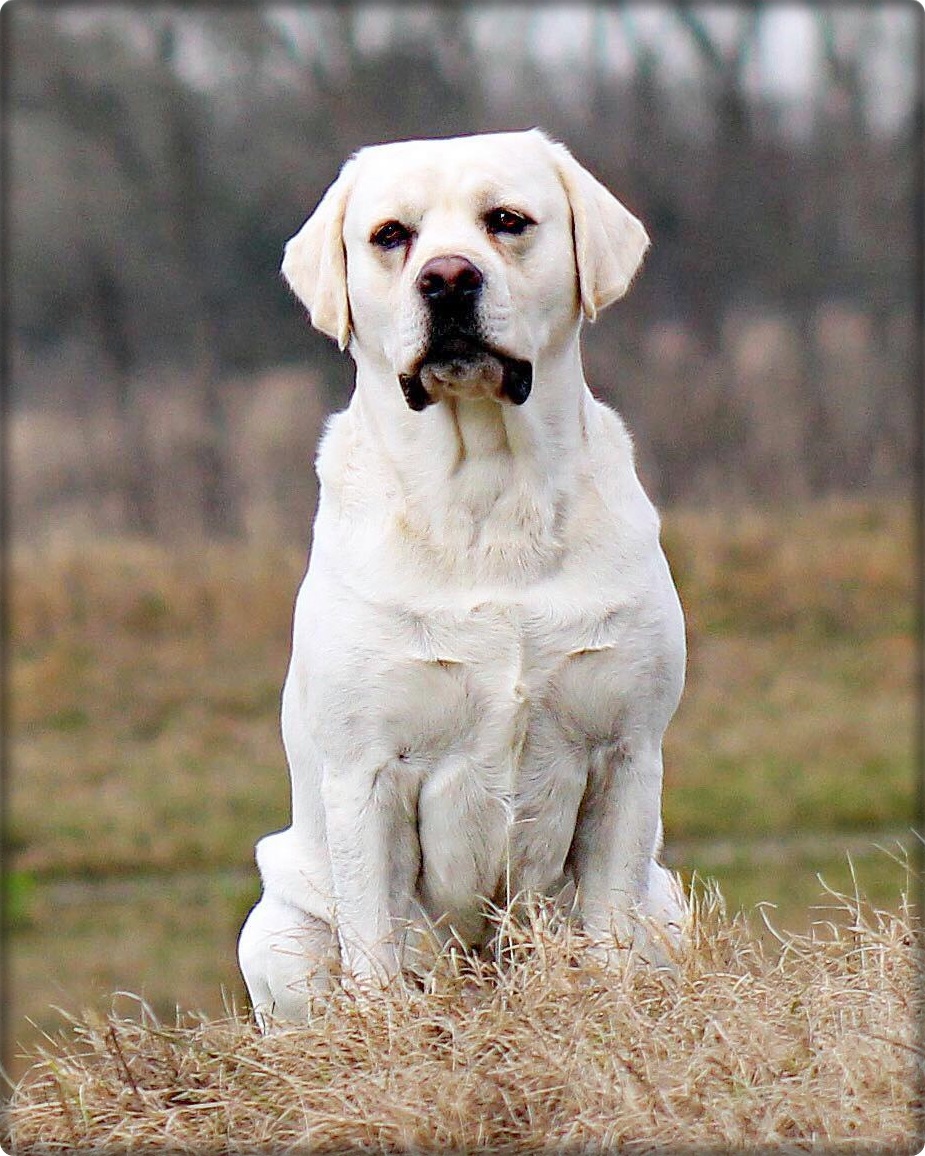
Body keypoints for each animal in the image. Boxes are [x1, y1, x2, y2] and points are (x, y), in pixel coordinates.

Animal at [238, 128, 684, 1031]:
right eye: (390, 236)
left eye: (506, 220)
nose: (446, 277)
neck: (488, 498)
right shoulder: (368, 773)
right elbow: (376, 947)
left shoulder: (627, 752)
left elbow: (608, 935)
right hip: (276, 930)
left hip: (673, 906)